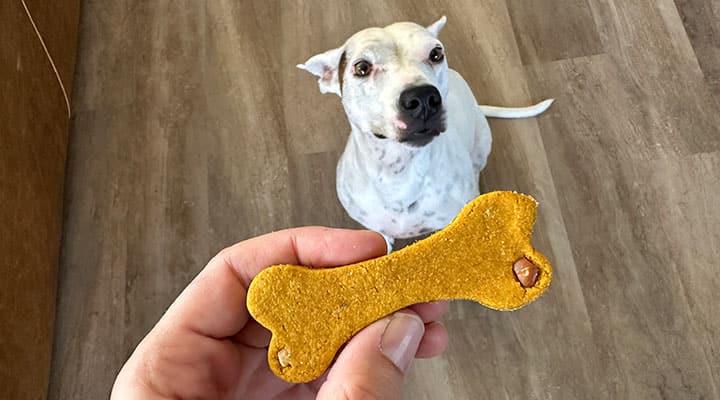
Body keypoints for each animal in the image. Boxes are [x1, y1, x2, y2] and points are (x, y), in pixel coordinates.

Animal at [296, 17, 552, 248]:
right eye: (362, 67)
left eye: (436, 54)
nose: (422, 98)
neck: (400, 171)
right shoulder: (378, 231)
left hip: (482, 142)